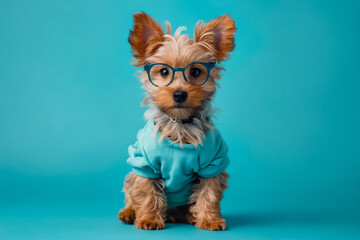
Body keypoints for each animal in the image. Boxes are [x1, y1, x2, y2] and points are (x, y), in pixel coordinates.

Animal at [118, 11, 236, 231]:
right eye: (164, 72)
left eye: (196, 72)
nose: (180, 94)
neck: (180, 125)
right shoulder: (144, 163)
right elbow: (146, 192)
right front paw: (148, 219)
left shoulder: (213, 164)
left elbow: (210, 192)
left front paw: (210, 219)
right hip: (131, 176)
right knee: (130, 192)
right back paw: (129, 213)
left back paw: (188, 215)